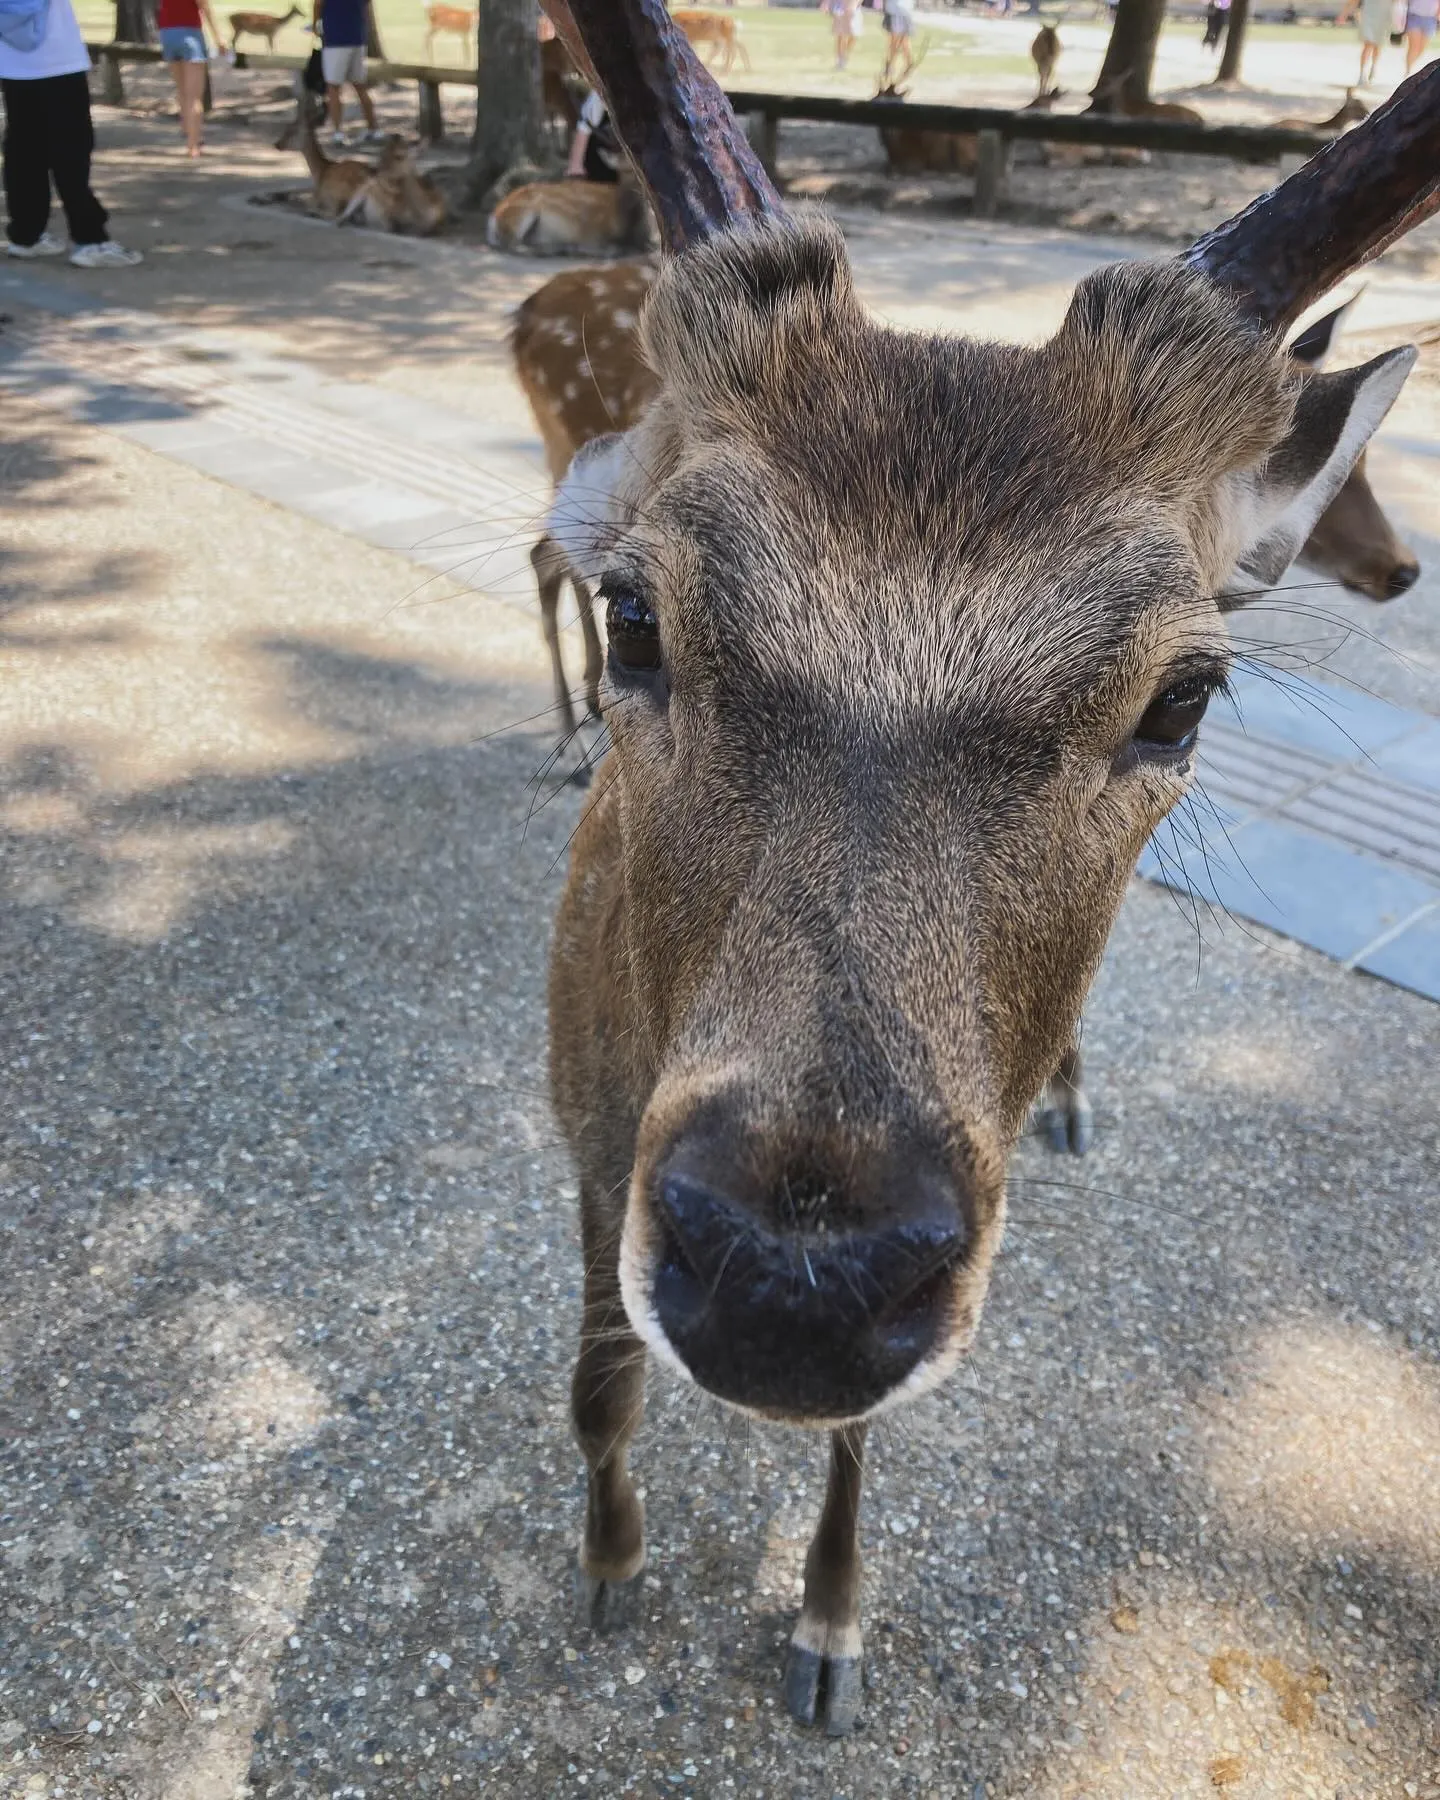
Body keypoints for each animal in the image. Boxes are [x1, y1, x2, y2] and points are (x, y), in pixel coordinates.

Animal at [532, 0, 1432, 1735]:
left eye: (1183, 694)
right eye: (636, 616)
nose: (794, 1276)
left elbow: (862, 1443)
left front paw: (828, 1631)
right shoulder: (584, 1133)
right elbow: (599, 1378)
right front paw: (607, 1568)